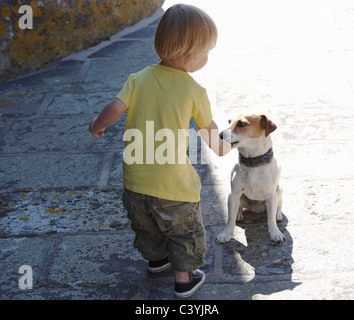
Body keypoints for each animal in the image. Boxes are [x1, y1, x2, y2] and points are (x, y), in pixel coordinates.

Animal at [216, 114, 284, 244]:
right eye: (229, 121)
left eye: (241, 124)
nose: (220, 135)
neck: (253, 163)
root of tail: (255, 209)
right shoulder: (234, 193)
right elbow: (230, 219)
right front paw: (226, 234)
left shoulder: (271, 195)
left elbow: (271, 219)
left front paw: (275, 233)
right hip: (235, 197)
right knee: (238, 208)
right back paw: (238, 214)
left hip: (280, 190)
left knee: (278, 206)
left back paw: (278, 215)